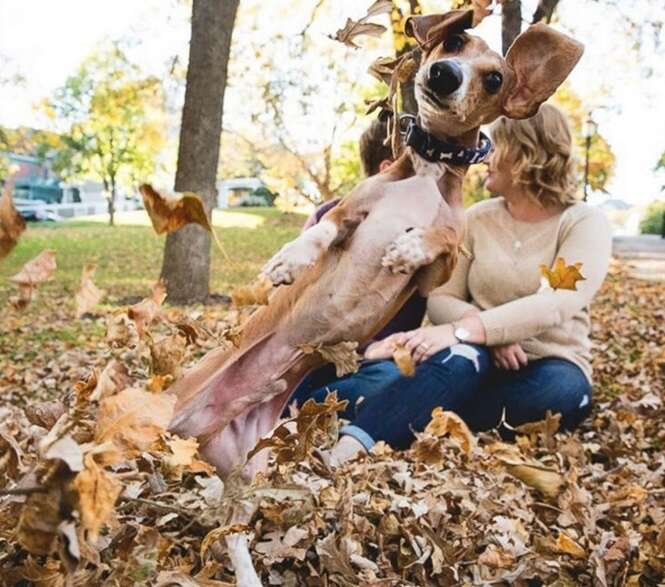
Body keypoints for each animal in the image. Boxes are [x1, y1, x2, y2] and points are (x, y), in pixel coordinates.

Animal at [166, 9, 580, 584]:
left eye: (495, 79)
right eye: (454, 40)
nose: (444, 74)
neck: (427, 171)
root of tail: (204, 434)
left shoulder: (436, 273)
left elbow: (439, 239)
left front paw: (407, 246)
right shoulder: (348, 213)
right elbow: (321, 232)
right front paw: (290, 261)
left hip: (251, 470)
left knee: (233, 535)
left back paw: (247, 572)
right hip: (161, 416)